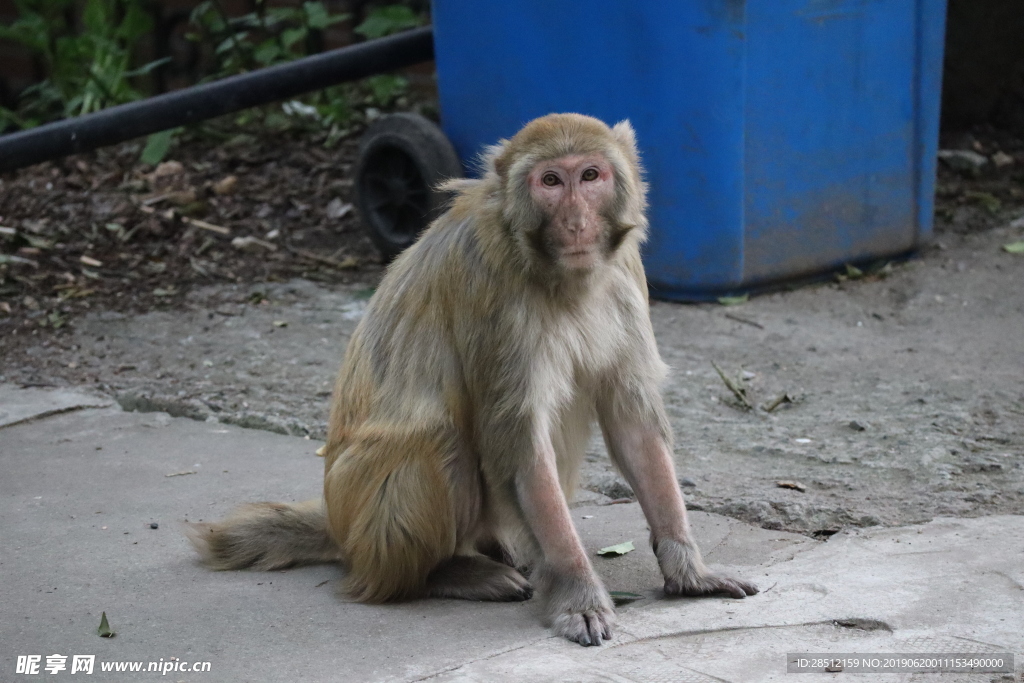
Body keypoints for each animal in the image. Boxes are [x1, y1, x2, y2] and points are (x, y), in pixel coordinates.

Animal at [188, 112, 757, 647]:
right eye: (551, 181)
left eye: (591, 175)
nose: (576, 222)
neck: (552, 271)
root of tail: (341, 530)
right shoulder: (490, 287)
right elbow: (519, 444)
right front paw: (577, 590)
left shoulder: (625, 274)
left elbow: (632, 423)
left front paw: (688, 570)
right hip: (364, 520)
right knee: (438, 438)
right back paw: (443, 573)